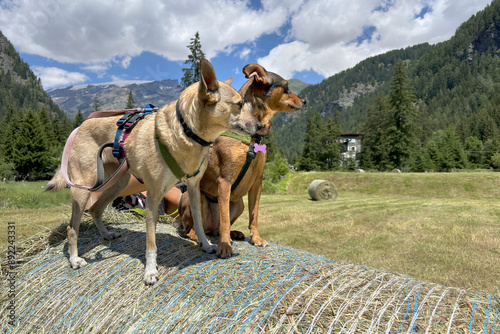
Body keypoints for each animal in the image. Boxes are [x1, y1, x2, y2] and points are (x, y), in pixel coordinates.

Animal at [46, 59, 262, 284]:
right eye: (239, 104)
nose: (259, 126)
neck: (186, 132)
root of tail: (79, 126)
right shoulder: (153, 197)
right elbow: (151, 242)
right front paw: (150, 271)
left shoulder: (193, 189)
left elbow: (199, 222)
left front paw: (205, 244)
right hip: (83, 188)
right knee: (72, 227)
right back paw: (74, 259)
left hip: (118, 182)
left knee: (96, 209)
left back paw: (106, 235)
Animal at [178, 63, 306, 258]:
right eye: (286, 87)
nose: (305, 101)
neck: (252, 137)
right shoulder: (225, 181)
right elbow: (224, 218)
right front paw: (224, 247)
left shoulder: (257, 183)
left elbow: (254, 214)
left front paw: (256, 238)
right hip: (195, 198)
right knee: (194, 229)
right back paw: (203, 238)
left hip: (238, 204)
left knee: (217, 228)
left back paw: (233, 233)